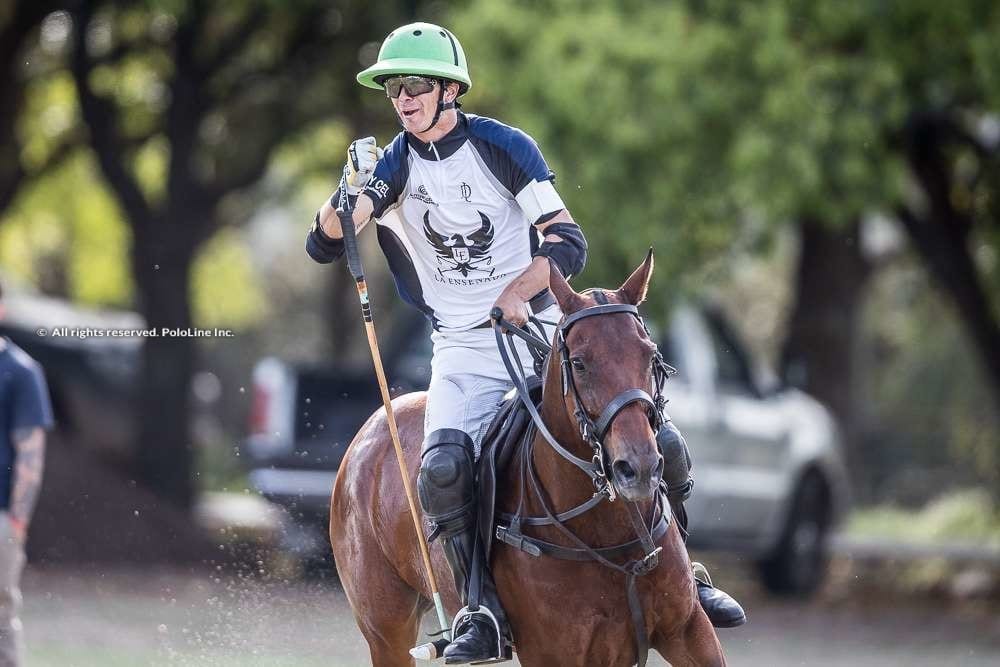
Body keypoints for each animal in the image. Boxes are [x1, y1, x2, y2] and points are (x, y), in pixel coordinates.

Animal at [330, 253, 728, 664]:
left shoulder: (688, 630)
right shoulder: (553, 652)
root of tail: (373, 425)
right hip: (386, 628)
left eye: (651, 355)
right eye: (580, 363)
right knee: (444, 469)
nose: (639, 468)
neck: (609, 532)